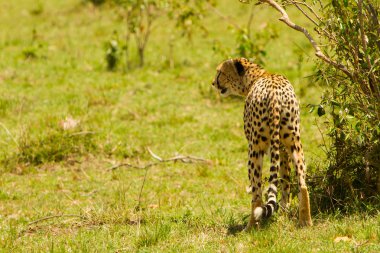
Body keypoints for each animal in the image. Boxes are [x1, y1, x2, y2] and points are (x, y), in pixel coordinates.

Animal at [211, 58, 312, 230]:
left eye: (220, 72)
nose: (213, 83)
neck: (257, 76)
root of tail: (274, 94)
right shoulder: (282, 149)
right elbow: (284, 180)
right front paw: (284, 212)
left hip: (254, 149)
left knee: (256, 193)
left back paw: (250, 226)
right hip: (295, 143)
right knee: (302, 184)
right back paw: (306, 222)